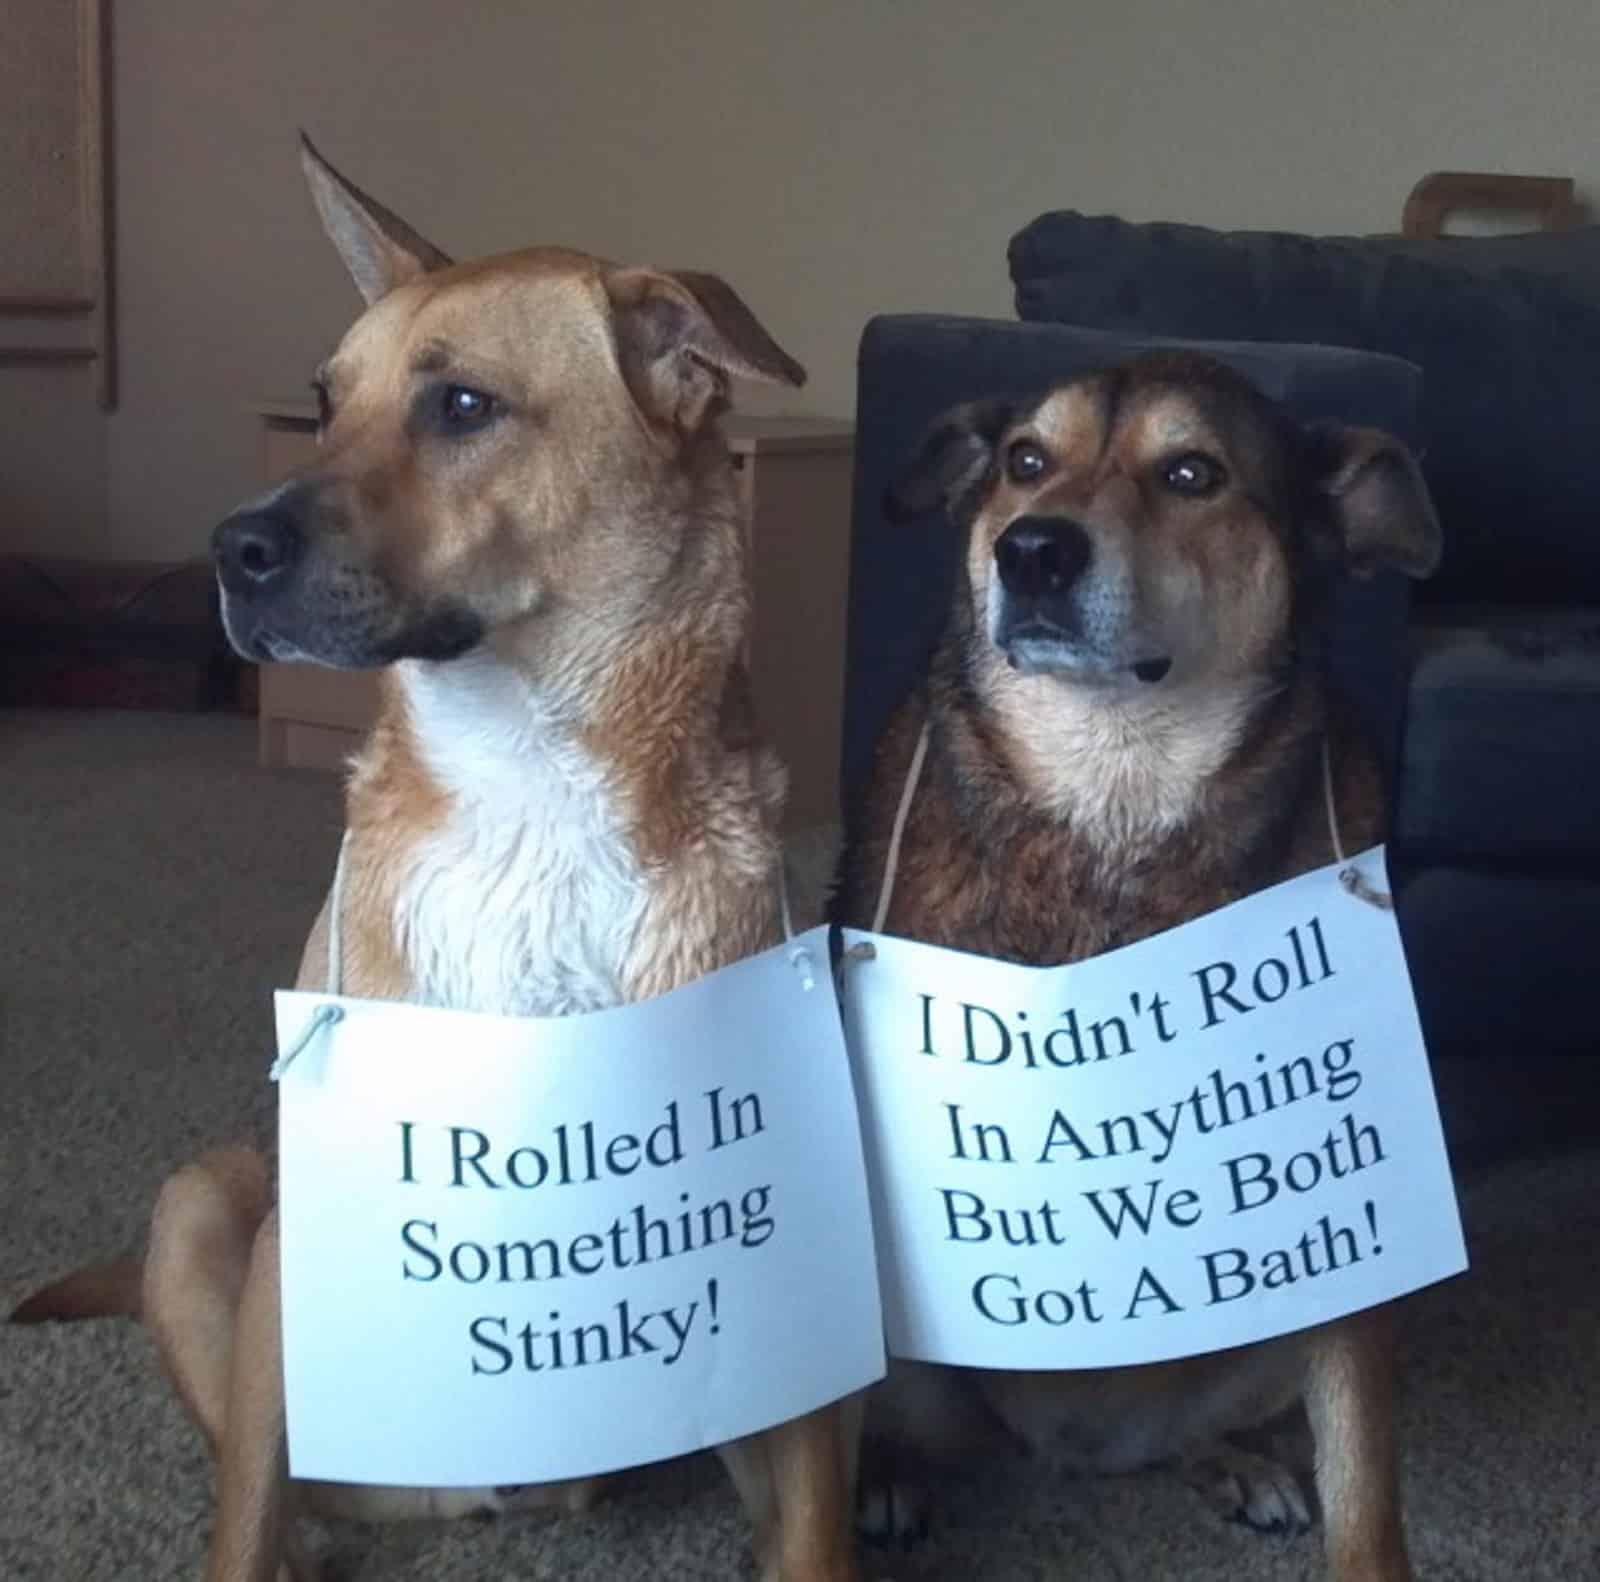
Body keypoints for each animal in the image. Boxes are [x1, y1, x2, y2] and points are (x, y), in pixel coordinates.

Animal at [15, 132, 864, 1580]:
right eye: (322, 399)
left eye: (463, 406)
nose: (228, 548)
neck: (526, 777)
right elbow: (242, 1515)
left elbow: (813, 1527)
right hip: (208, 1200)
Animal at [838, 351, 1440, 1574]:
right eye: (1025, 461)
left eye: (1191, 473)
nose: (1031, 548)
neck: (1114, 797)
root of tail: (1075, 1450)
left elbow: (1363, 1474)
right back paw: (890, 1476)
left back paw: (1236, 1464)